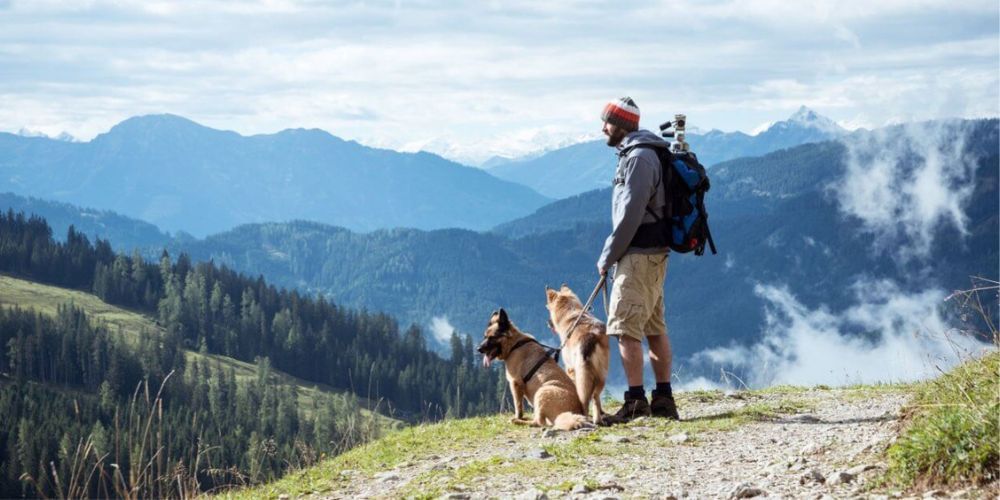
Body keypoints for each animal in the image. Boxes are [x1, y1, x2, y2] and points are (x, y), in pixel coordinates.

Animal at [548, 284, 608, 424]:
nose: (547, 323)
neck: (571, 313)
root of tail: (590, 336)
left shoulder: (570, 368)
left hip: (582, 371)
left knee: (584, 397)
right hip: (602, 373)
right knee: (596, 395)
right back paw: (598, 419)